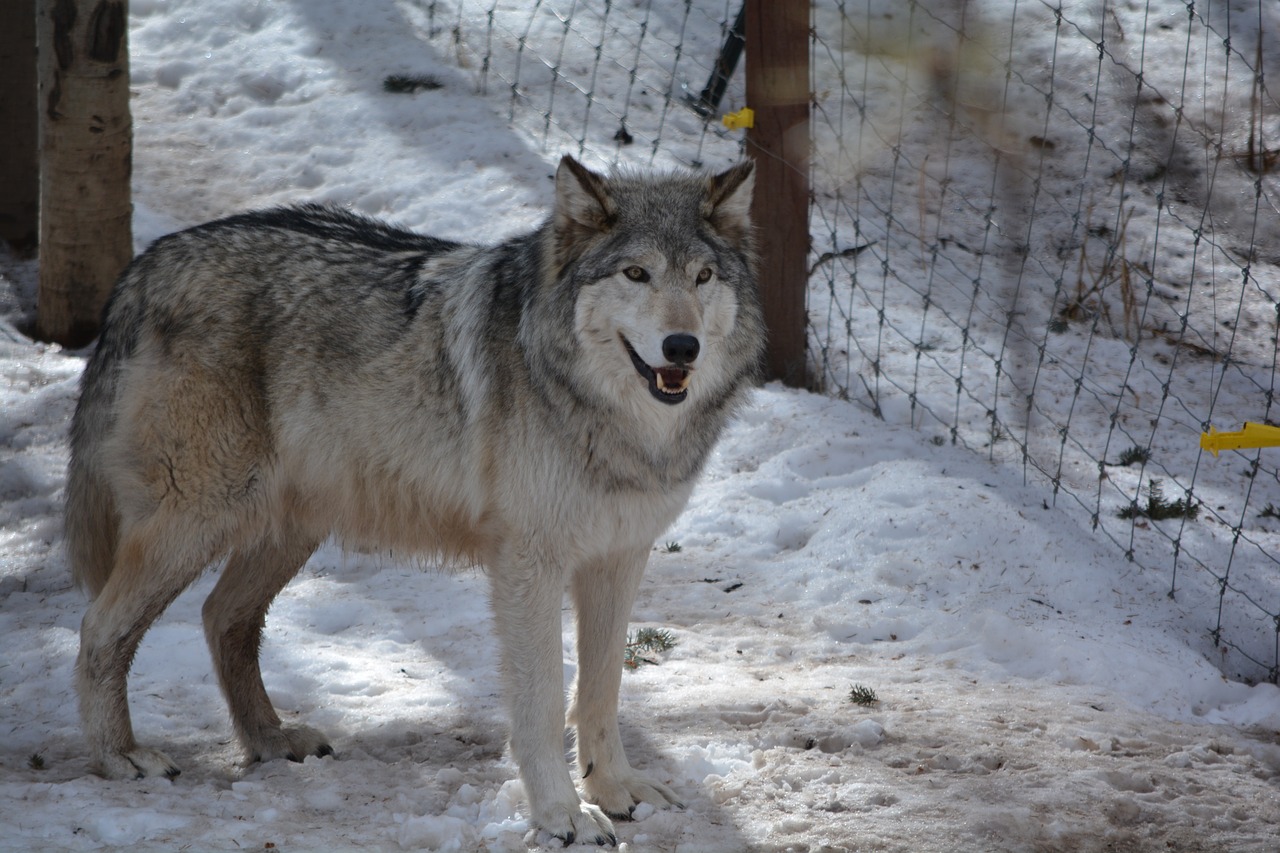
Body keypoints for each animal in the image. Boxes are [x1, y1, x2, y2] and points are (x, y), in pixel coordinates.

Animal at [67, 154, 757, 845]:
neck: (615, 421)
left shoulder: (619, 558)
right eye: (636, 274)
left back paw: (269, 740)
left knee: (222, 618)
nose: (682, 347)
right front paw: (561, 814)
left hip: (286, 529)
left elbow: (601, 690)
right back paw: (120, 757)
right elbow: (540, 703)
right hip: (200, 520)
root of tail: (149, 262)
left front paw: (614, 790)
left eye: (702, 277)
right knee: (100, 627)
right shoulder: (529, 565)